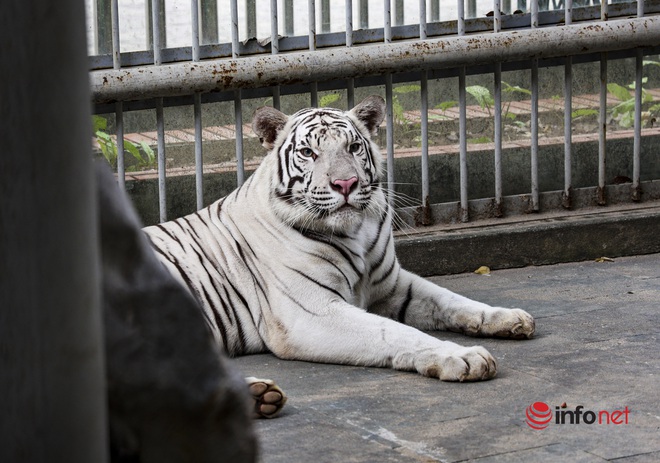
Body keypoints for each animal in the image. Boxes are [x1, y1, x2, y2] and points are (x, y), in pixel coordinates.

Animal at [143, 96, 532, 418]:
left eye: (354, 147)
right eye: (308, 153)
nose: (345, 184)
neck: (354, 232)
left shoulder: (392, 285)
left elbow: (452, 300)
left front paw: (509, 317)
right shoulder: (311, 313)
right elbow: (396, 333)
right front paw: (463, 357)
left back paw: (254, 396)